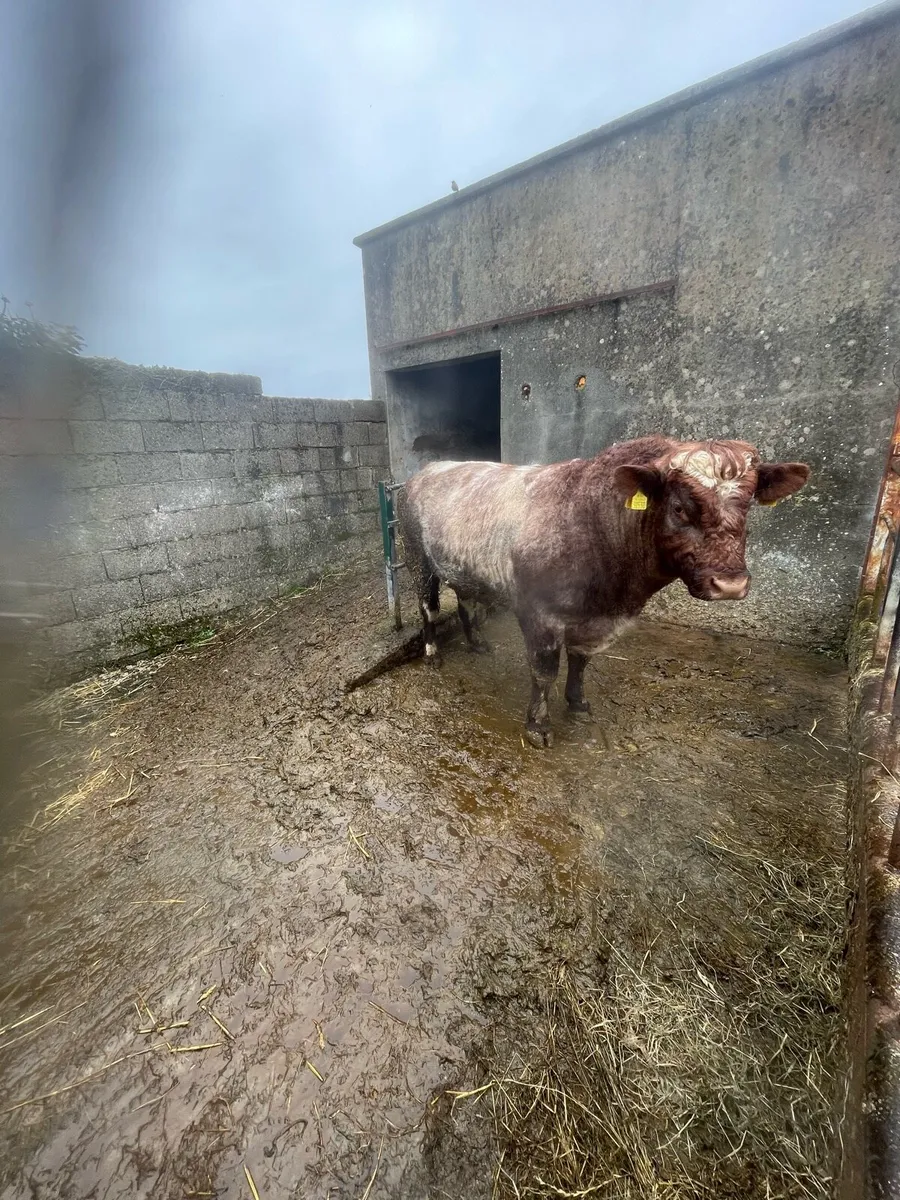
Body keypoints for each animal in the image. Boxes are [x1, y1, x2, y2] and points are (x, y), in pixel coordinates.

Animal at [397, 436, 809, 748]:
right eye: (679, 507)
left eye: (749, 506)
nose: (730, 584)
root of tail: (430, 469)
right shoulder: (539, 614)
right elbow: (543, 672)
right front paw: (538, 726)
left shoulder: (596, 619)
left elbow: (581, 662)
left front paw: (577, 703)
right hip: (418, 558)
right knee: (428, 608)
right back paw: (433, 653)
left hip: (460, 564)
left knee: (465, 602)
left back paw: (477, 642)